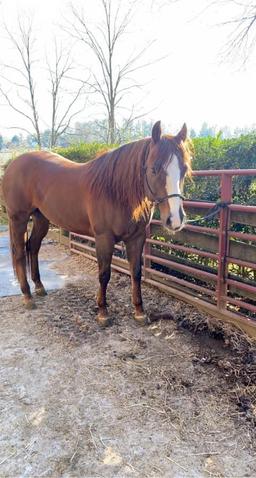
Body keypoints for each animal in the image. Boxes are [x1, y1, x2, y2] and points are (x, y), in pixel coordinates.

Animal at [1, 121, 190, 326]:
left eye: (184, 169)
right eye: (154, 169)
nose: (175, 219)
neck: (115, 191)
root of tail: (13, 164)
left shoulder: (136, 238)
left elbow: (136, 272)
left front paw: (139, 311)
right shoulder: (104, 238)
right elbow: (104, 274)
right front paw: (103, 312)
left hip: (41, 218)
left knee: (33, 247)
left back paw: (39, 287)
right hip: (18, 219)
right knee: (20, 253)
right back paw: (27, 296)